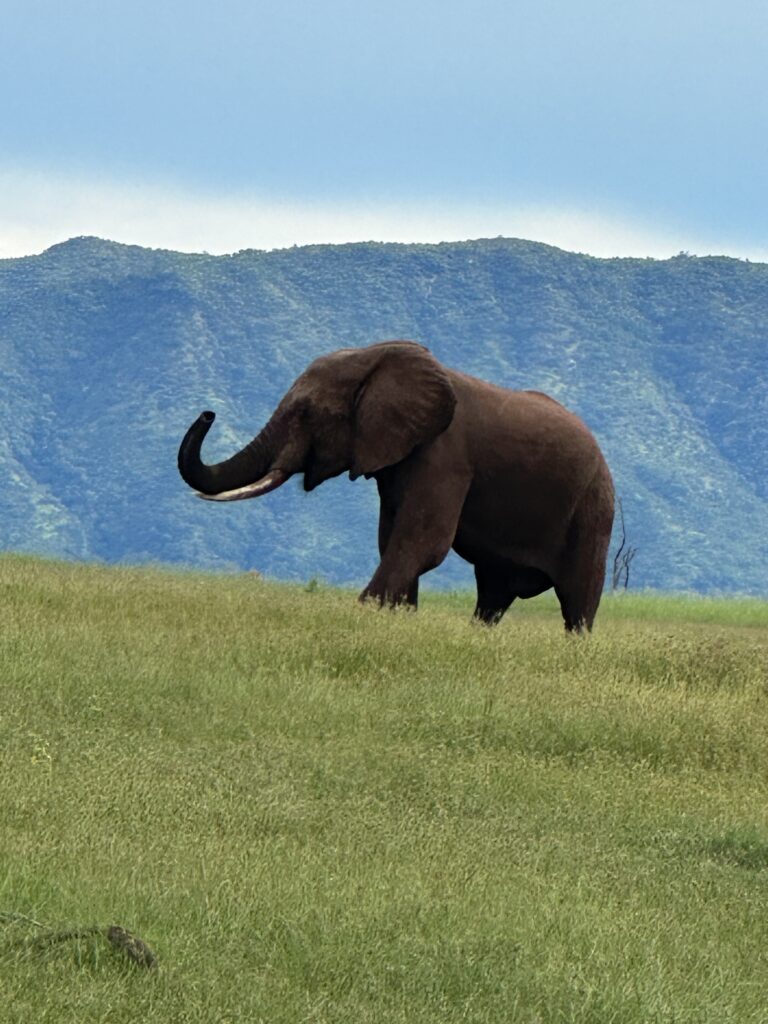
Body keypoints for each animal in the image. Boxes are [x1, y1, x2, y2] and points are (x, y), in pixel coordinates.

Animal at [177, 344, 618, 626]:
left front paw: (363, 615)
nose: (208, 413)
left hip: (594, 508)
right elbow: (392, 538)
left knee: (577, 602)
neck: (375, 359)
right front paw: (400, 620)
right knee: (493, 592)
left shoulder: (445, 456)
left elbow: (422, 542)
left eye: (306, 413)